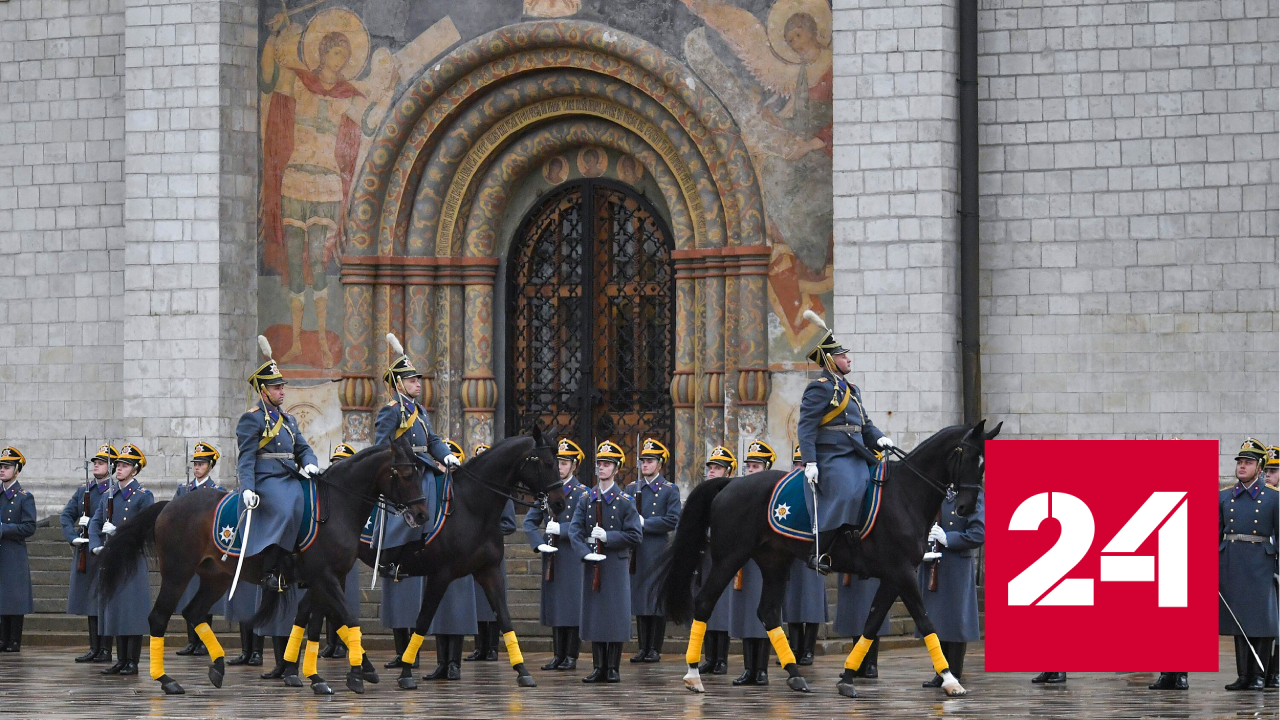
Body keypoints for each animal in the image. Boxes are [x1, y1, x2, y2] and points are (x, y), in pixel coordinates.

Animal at [98, 435, 430, 691]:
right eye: (405, 475)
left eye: (419, 473)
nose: (422, 515)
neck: (337, 507)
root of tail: (169, 505)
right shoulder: (324, 577)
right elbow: (345, 618)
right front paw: (354, 674)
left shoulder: (330, 577)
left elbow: (322, 621)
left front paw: (318, 674)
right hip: (178, 574)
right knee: (158, 618)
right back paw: (166, 680)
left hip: (216, 576)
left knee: (193, 612)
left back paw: (217, 666)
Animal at [358, 427, 563, 686]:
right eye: (547, 463)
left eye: (558, 461)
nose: (560, 502)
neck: (472, 506)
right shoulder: (439, 575)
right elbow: (423, 621)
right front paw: (405, 672)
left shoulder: (489, 570)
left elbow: (504, 617)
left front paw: (522, 670)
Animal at [660, 420, 998, 696]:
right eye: (968, 456)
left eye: (984, 463)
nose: (967, 507)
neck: (905, 495)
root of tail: (732, 483)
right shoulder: (901, 573)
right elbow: (926, 621)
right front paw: (950, 679)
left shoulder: (894, 576)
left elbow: (871, 623)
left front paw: (848, 675)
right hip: (730, 557)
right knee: (705, 602)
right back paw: (693, 674)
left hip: (774, 562)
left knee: (767, 612)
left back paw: (795, 674)